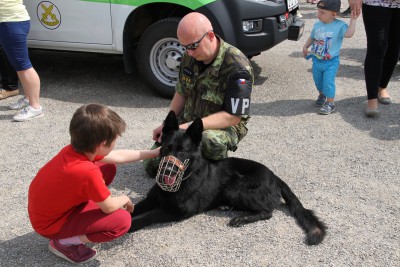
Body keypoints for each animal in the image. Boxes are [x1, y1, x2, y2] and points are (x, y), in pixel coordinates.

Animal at [130, 111, 326, 247]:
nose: (168, 171)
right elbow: (134, 208)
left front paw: (131, 225)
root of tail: (274, 176)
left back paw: (242, 218)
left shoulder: (176, 211)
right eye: (166, 148)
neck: (184, 178)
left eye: (182, 151)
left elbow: (149, 215)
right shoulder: (150, 200)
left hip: (234, 188)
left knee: (268, 211)